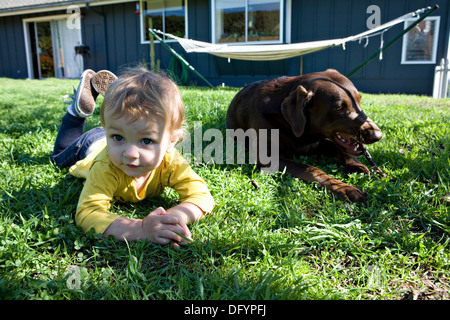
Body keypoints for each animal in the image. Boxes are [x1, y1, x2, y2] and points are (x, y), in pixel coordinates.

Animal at [227, 69, 382, 202]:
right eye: (339, 108)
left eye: (359, 100)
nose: (378, 135)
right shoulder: (268, 157)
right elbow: (311, 169)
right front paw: (344, 188)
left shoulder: (316, 143)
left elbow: (338, 149)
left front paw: (355, 164)